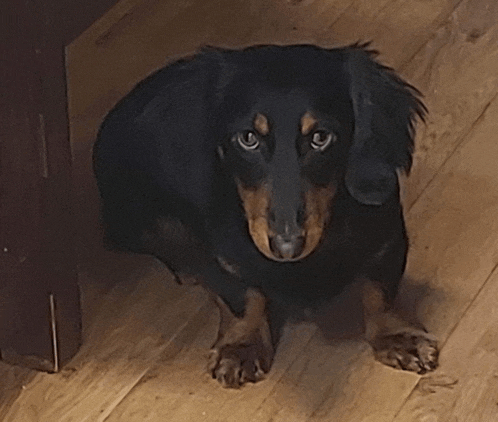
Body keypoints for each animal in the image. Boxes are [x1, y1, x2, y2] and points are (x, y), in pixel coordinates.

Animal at [92, 41, 436, 388]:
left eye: (320, 137)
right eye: (248, 138)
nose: (287, 247)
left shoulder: (388, 239)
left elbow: (380, 293)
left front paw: (397, 335)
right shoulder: (224, 259)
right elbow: (243, 298)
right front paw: (241, 346)